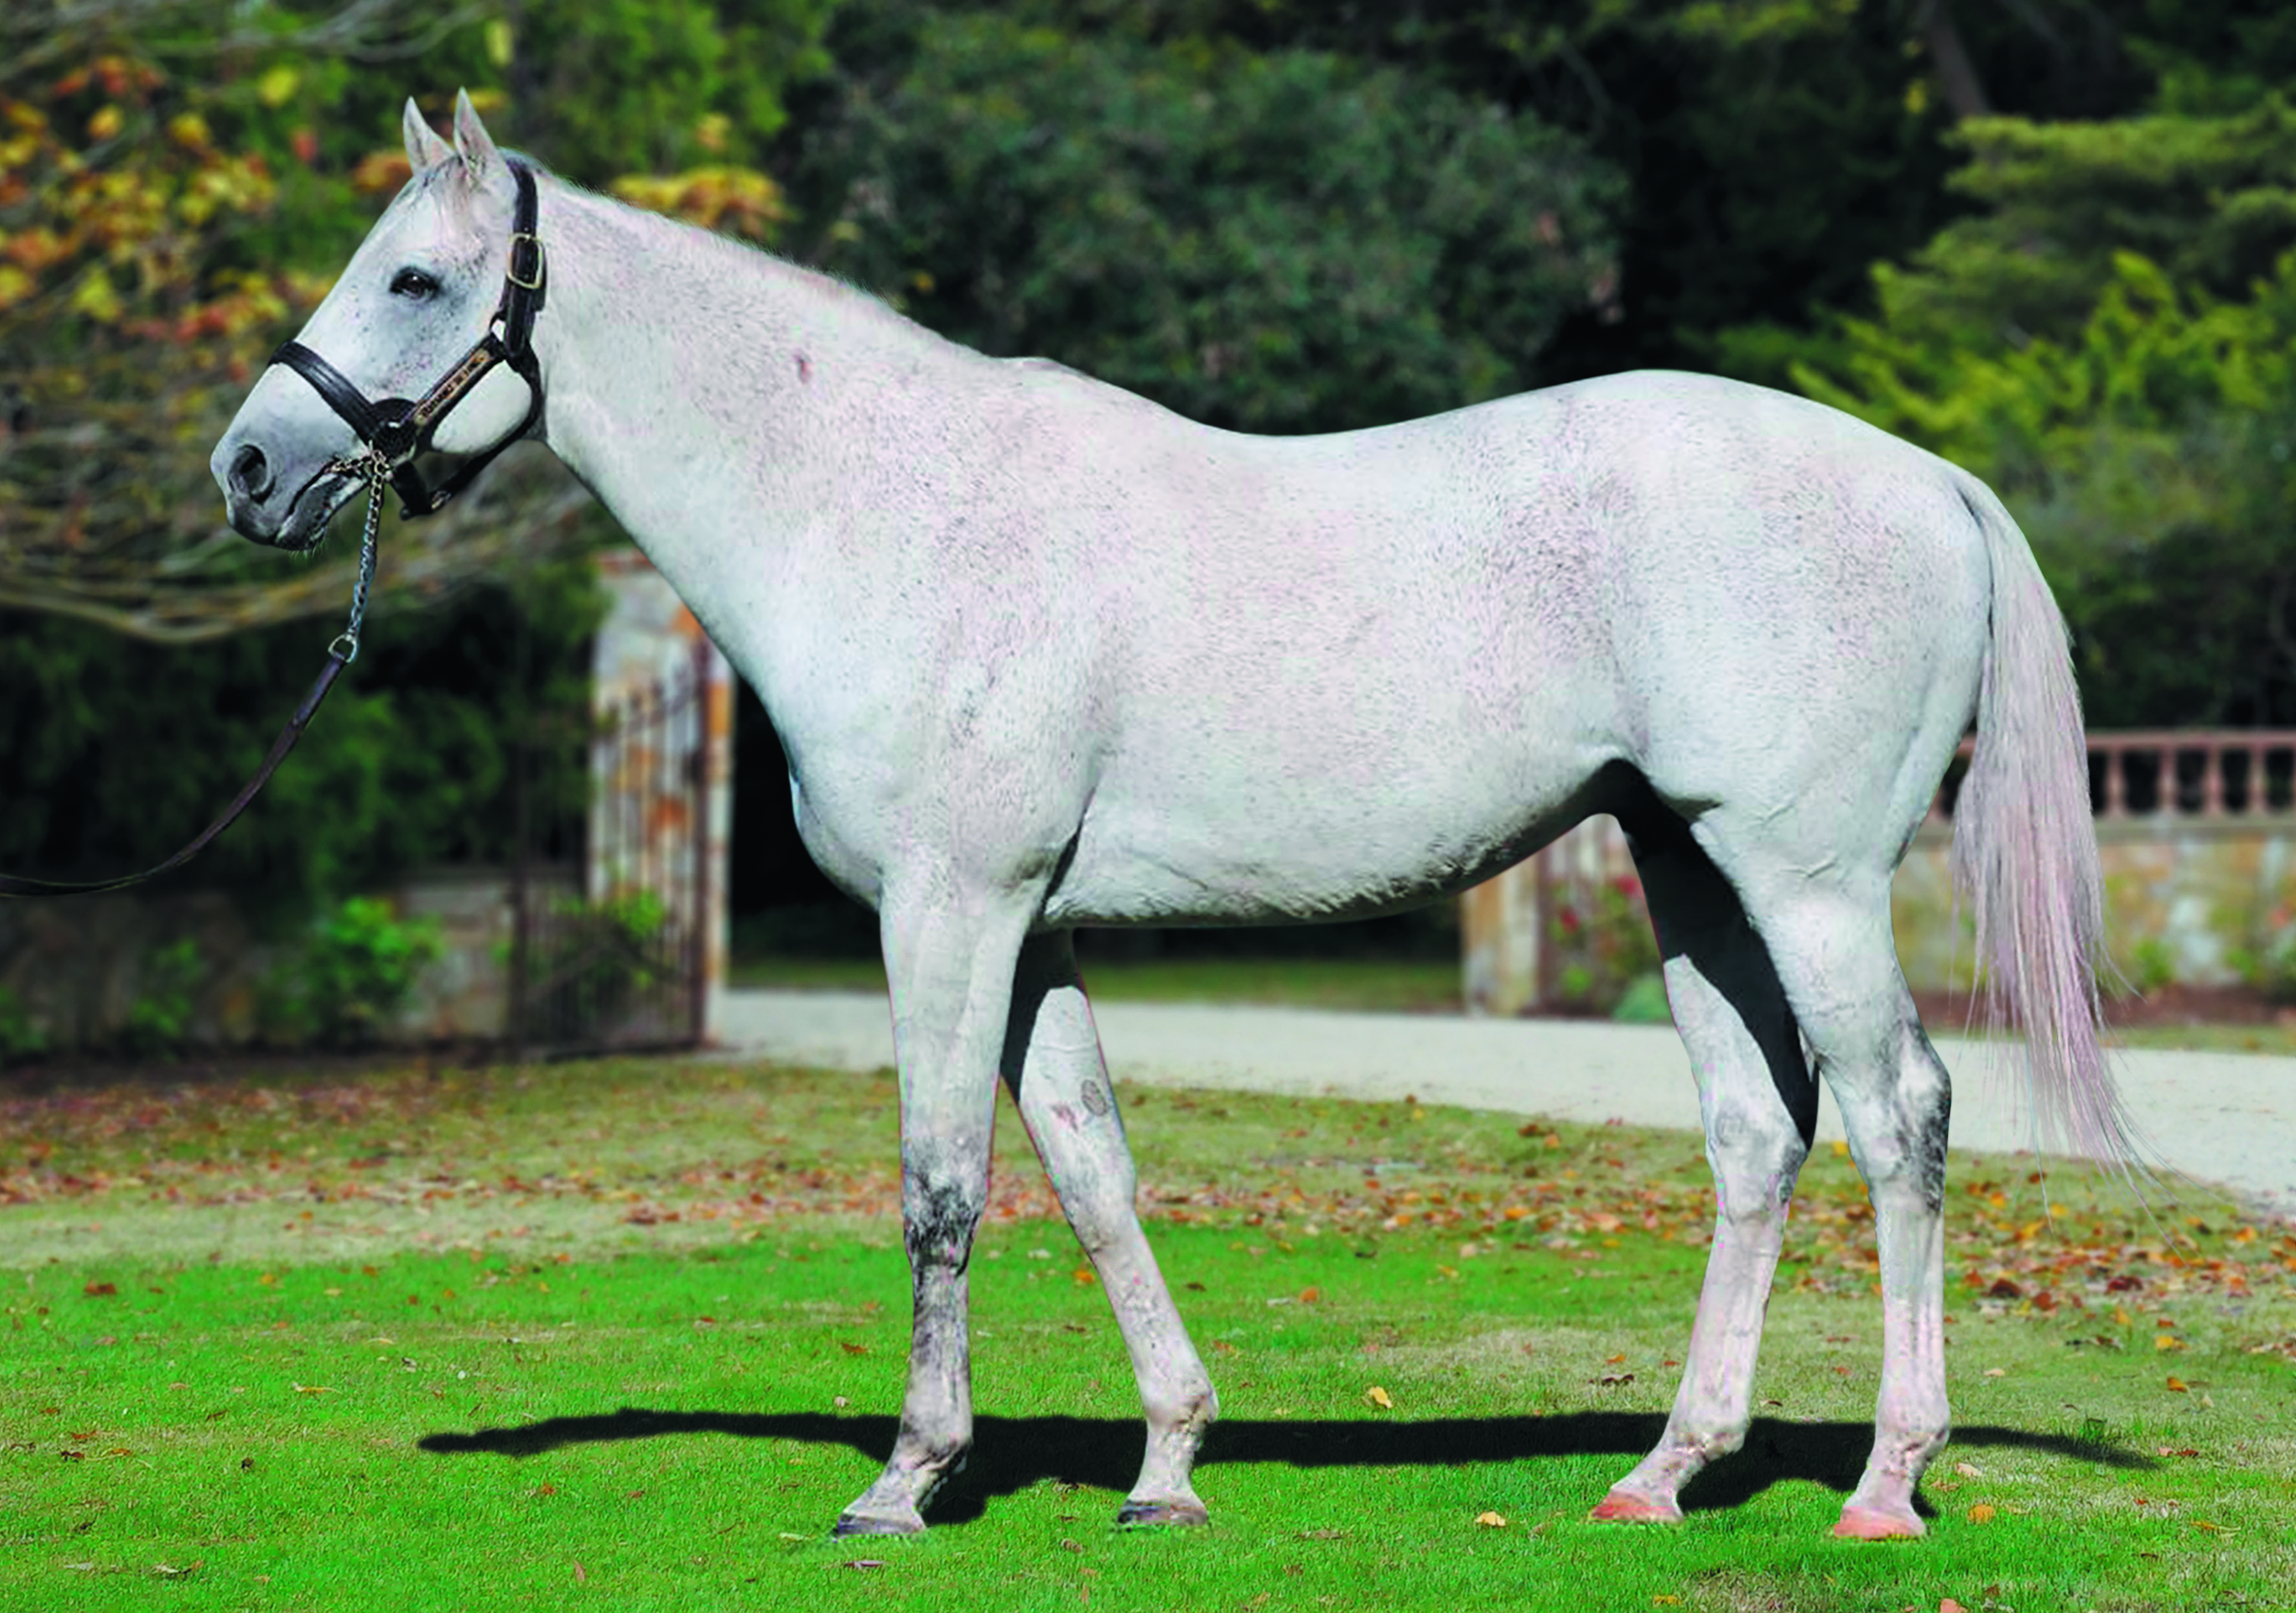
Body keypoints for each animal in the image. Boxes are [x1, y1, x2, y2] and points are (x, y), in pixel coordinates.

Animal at [219, 94, 2130, 1541]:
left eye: (416, 273)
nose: (248, 469)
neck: (885, 512)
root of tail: (1928, 478)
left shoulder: (949, 912)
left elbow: (942, 1185)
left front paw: (906, 1483)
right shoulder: (1036, 929)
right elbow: (1091, 1169)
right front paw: (1167, 1464)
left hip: (1806, 881)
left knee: (1899, 1115)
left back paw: (1884, 1484)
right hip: (1691, 873)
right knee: (1754, 1135)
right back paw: (1662, 1473)